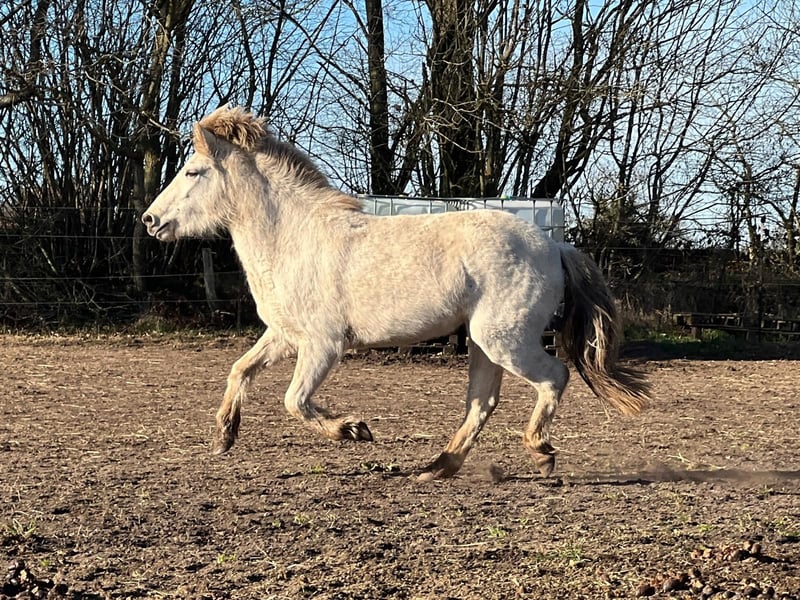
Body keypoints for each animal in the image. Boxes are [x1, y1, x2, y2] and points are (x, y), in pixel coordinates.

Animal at [142, 106, 650, 481]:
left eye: (193, 171)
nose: (150, 220)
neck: (294, 237)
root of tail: (555, 246)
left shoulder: (323, 345)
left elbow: (294, 400)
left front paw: (353, 430)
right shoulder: (285, 335)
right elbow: (240, 370)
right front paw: (224, 436)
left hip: (507, 340)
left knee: (553, 377)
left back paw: (540, 452)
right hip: (483, 343)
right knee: (482, 402)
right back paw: (437, 467)